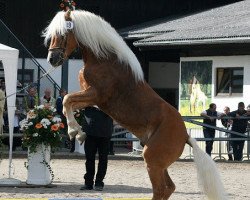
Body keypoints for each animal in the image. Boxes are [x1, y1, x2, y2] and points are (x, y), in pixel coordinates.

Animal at [43, 10, 227, 199]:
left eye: (63, 34)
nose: (52, 59)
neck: (104, 60)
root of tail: (185, 136)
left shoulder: (96, 95)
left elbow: (67, 99)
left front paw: (75, 132)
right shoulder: (90, 98)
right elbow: (69, 104)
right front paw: (78, 132)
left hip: (153, 159)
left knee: (161, 189)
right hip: (158, 163)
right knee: (169, 187)